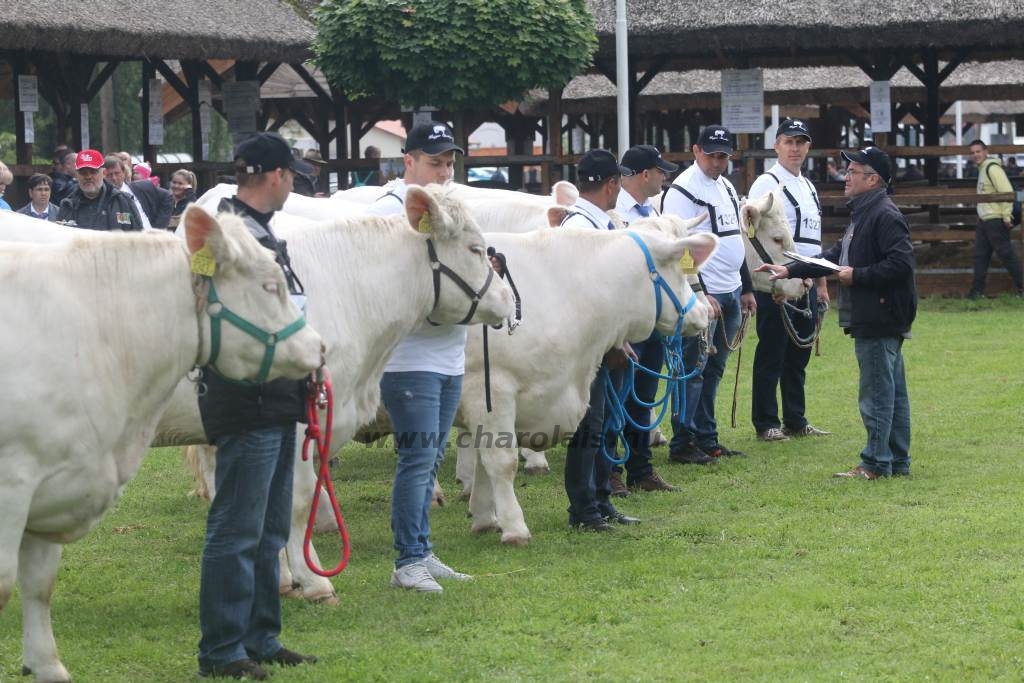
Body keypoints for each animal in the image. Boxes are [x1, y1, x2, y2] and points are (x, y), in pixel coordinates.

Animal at [0, 208, 323, 683]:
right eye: (270, 286)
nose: (319, 346)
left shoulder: (53, 487)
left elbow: (39, 585)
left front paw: (46, 665)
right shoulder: (13, 486)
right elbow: (6, 583)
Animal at [152, 185, 516, 602]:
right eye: (475, 248)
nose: (507, 298)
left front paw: (282, 579)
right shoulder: (297, 425)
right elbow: (296, 501)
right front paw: (313, 581)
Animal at [452, 216, 716, 548]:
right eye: (681, 270)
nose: (705, 311)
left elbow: (483, 462)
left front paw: (485, 518)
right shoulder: (490, 390)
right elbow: (500, 461)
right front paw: (514, 527)